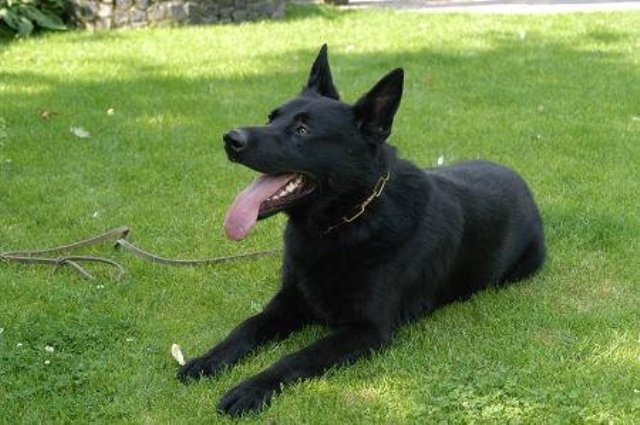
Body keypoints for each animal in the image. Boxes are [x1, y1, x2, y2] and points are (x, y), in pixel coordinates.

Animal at [178, 45, 546, 416]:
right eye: (271, 118)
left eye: (302, 131)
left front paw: (253, 387)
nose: (230, 139)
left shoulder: (366, 330)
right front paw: (208, 359)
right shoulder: (287, 303)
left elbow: (297, 356)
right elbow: (247, 326)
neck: (345, 222)